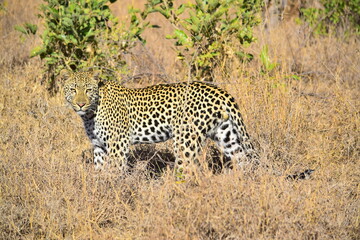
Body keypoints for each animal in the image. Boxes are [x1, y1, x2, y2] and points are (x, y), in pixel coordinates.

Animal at [63, 70, 314, 179]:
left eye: (88, 90)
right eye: (73, 89)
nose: (80, 103)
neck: (90, 114)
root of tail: (220, 91)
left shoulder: (118, 144)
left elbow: (115, 170)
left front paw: (113, 190)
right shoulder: (99, 146)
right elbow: (99, 170)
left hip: (185, 140)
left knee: (189, 170)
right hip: (227, 136)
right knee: (244, 161)